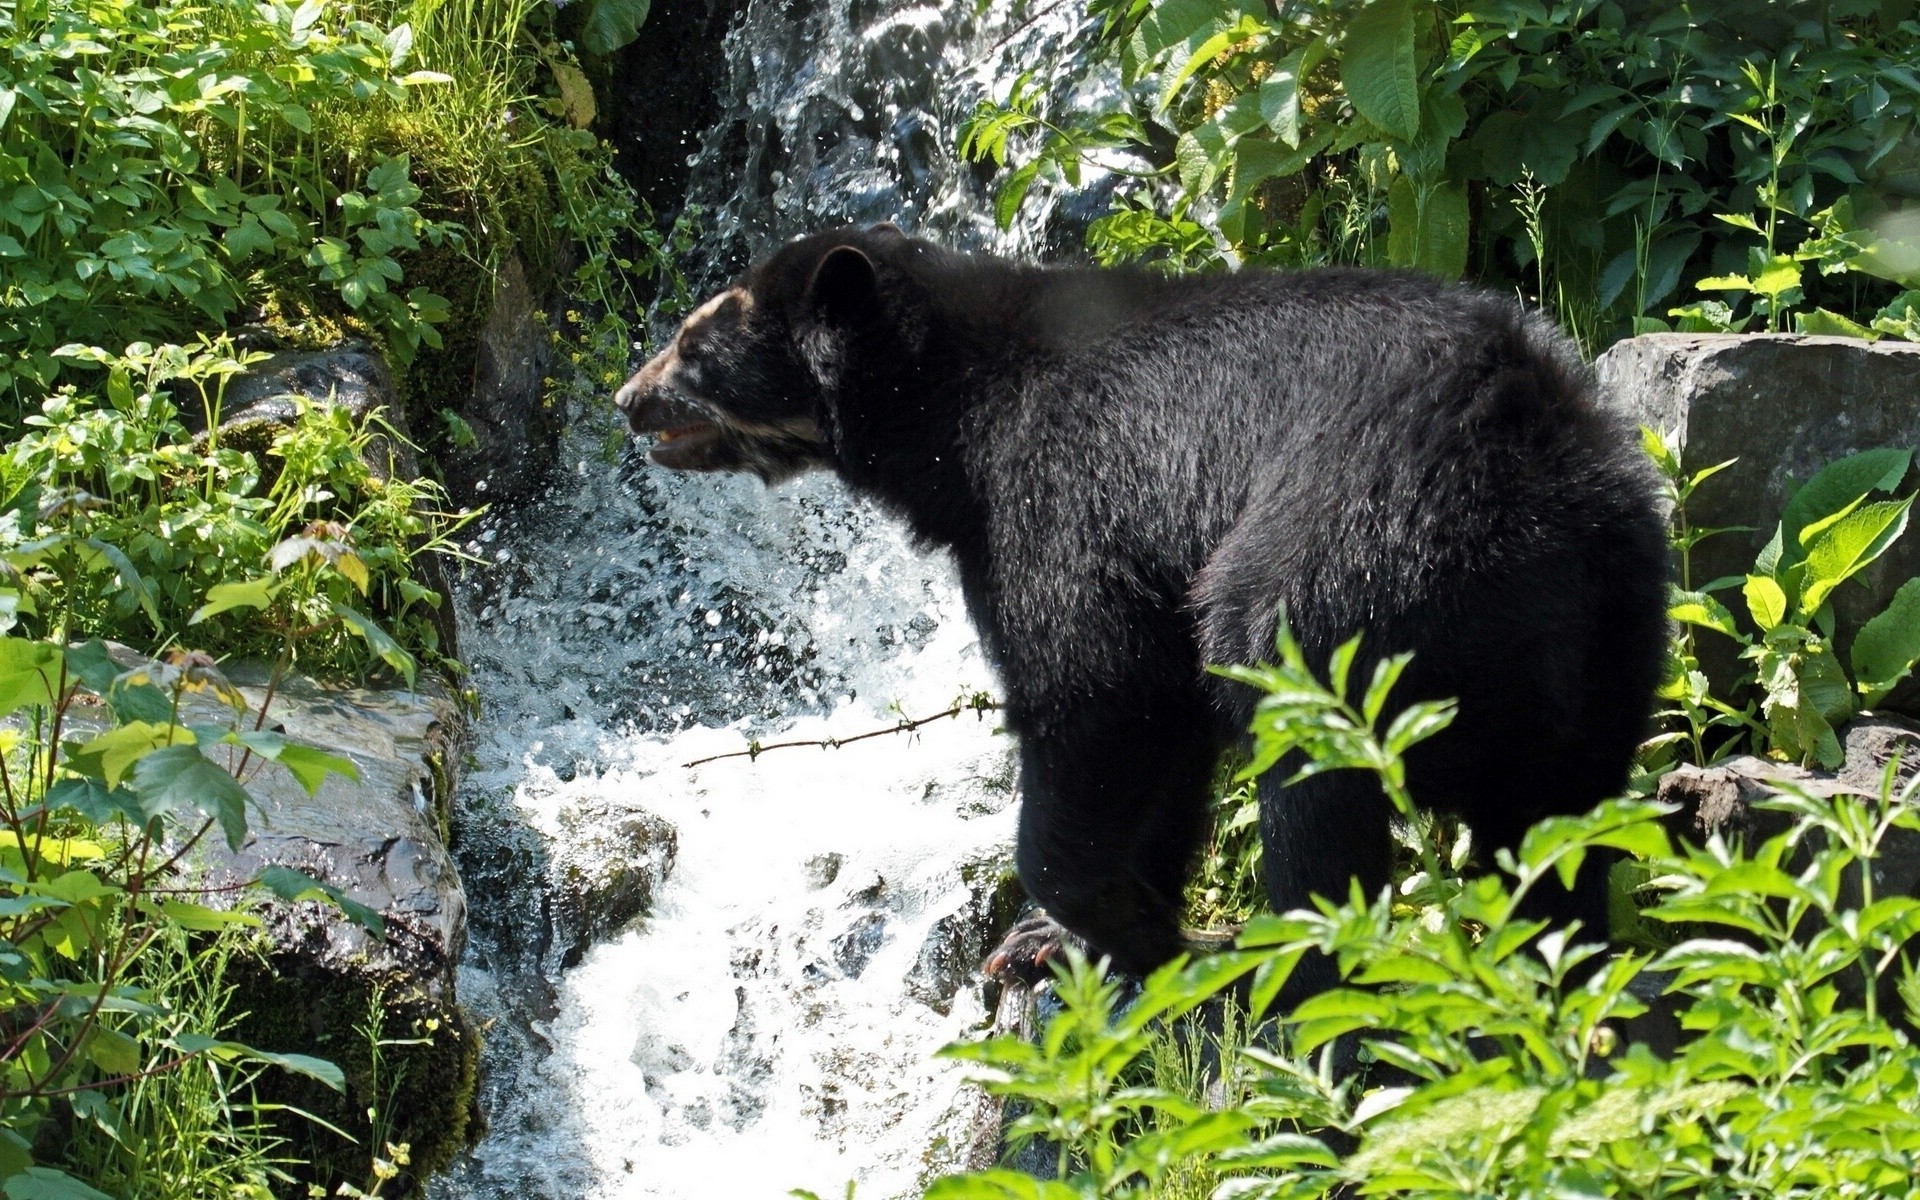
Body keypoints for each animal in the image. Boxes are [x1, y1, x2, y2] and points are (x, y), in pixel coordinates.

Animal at [614, 224, 1666, 983]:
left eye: (694, 344)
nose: (628, 400)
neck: (952, 416)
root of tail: (1527, 455)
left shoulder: (1063, 494)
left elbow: (1093, 687)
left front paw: (1102, 921)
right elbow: (1164, 738)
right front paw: (1070, 937)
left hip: (1340, 568)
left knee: (1310, 770)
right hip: (1613, 625)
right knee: (1554, 820)